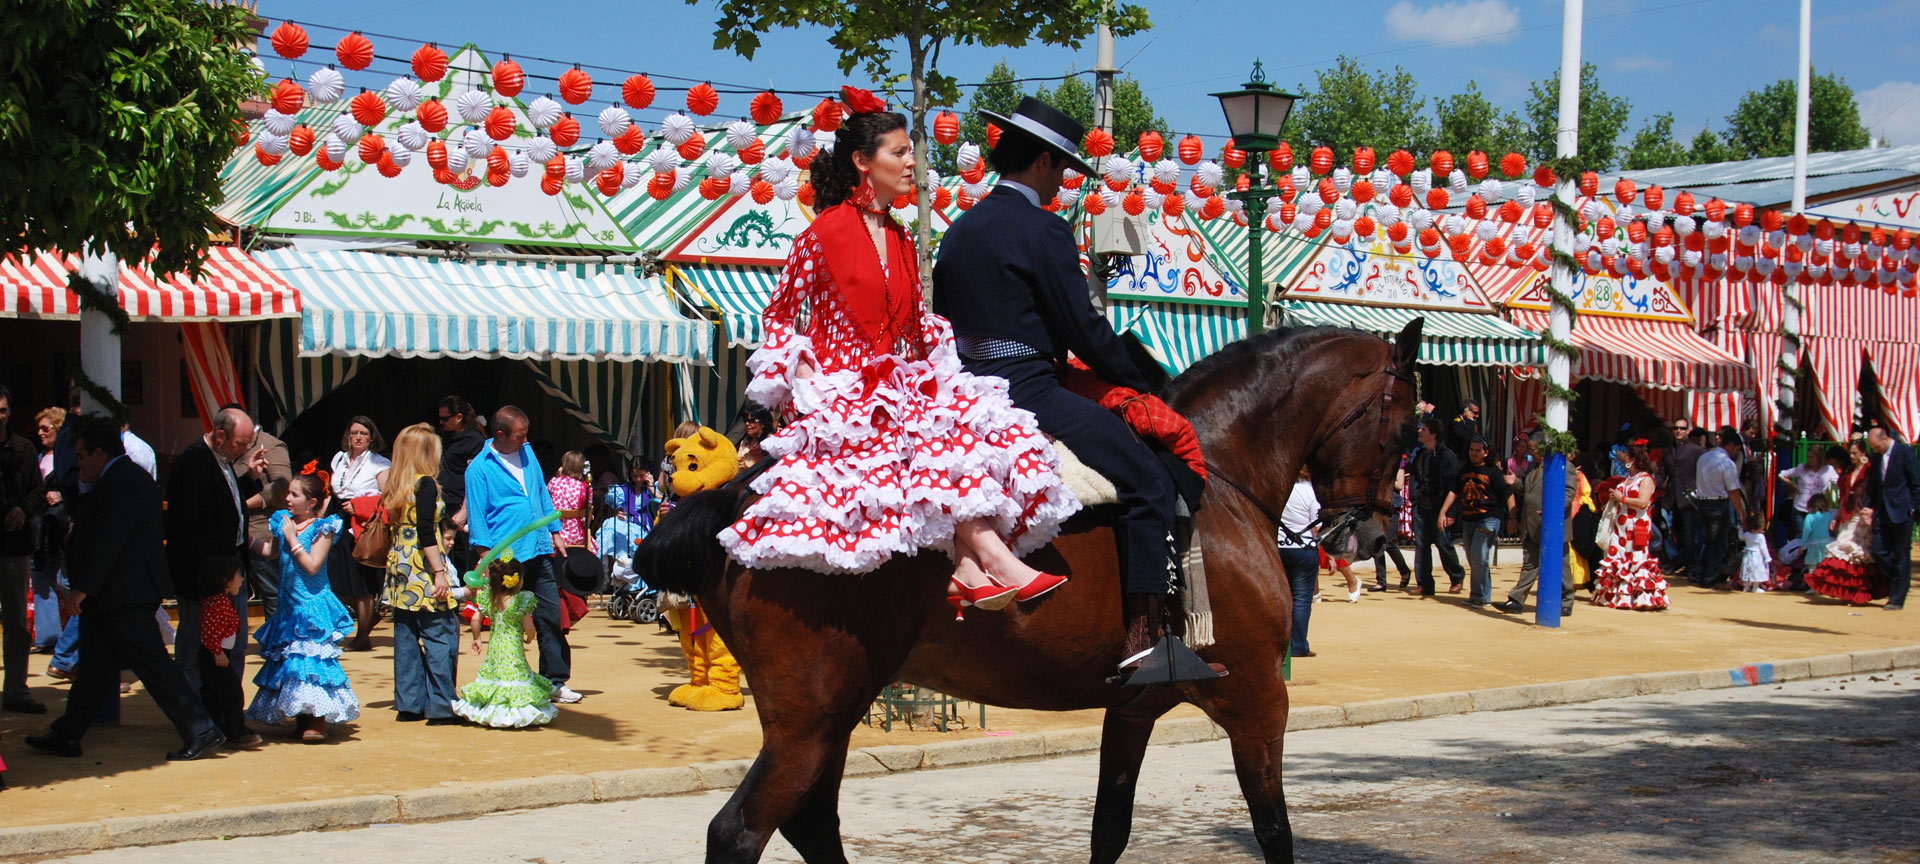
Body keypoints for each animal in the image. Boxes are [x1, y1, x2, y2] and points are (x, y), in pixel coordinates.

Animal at [645, 320, 1428, 860]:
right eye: (1404, 429)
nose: (1374, 533)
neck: (1219, 477)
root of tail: (736, 496)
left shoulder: (1135, 705)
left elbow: (1110, 828)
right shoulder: (1258, 697)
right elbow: (1274, 829)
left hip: (831, 714)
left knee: (810, 822)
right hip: (812, 719)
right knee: (740, 831)